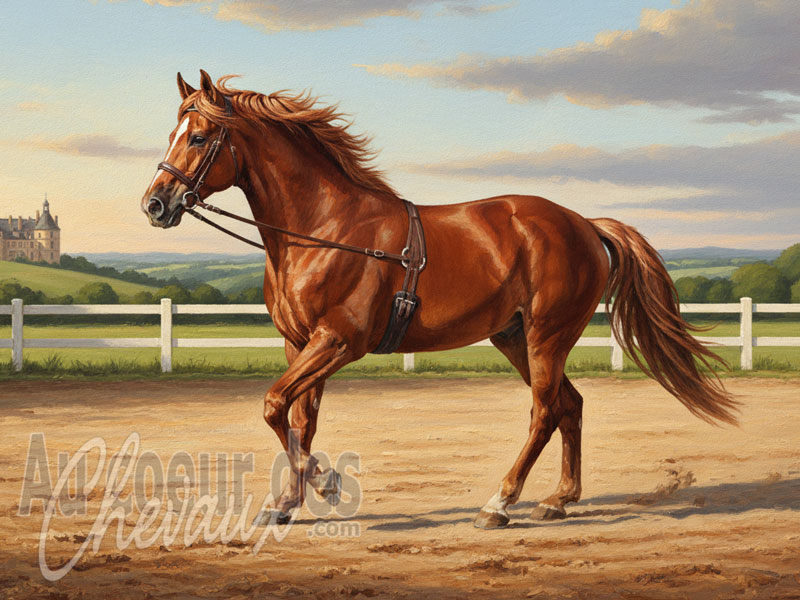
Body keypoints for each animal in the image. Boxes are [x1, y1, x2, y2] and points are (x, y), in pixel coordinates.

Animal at [141, 70, 738, 529]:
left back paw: (499, 504)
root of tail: (585, 226)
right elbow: (298, 419)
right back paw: (558, 500)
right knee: (571, 405)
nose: (155, 205)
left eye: (199, 137)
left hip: (547, 336)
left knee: (545, 411)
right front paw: (287, 503)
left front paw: (328, 484)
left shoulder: (338, 342)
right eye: (171, 132)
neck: (322, 230)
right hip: (514, 337)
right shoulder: (299, 345)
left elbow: (272, 405)